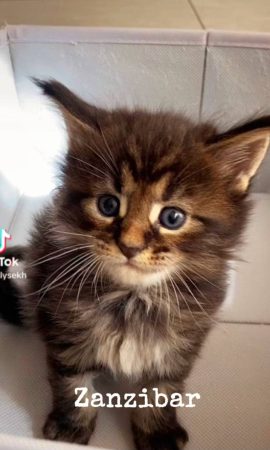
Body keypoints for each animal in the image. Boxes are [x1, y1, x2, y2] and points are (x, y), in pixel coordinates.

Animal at [0, 79, 268, 448]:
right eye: (108, 205)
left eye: (172, 217)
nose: (129, 245)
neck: (132, 298)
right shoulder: (62, 320)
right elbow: (71, 377)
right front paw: (70, 425)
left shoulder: (182, 338)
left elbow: (162, 386)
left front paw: (157, 431)